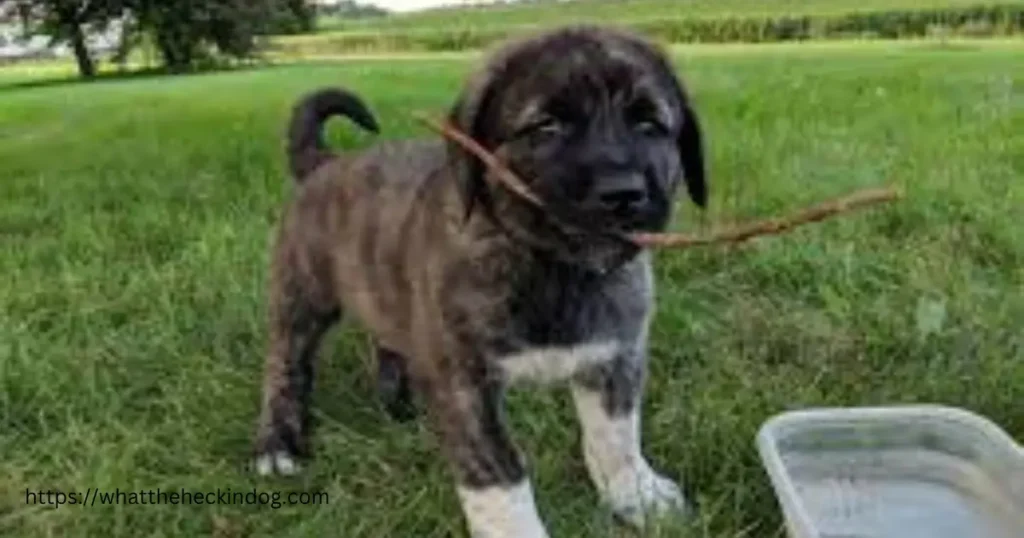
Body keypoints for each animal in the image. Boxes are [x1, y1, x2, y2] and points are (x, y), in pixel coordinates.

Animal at [251, 24, 708, 536]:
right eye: (546, 126)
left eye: (649, 124)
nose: (623, 193)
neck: (550, 266)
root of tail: (324, 162)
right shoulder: (464, 384)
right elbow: (499, 475)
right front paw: (521, 529)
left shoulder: (614, 357)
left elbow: (617, 437)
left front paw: (638, 497)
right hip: (301, 296)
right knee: (285, 365)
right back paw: (277, 444)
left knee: (385, 339)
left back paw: (397, 405)